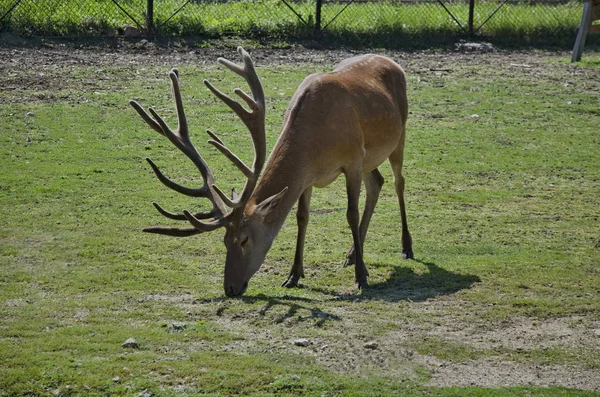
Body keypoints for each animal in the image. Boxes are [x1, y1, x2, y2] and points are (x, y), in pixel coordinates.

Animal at [131, 46, 412, 296]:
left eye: (244, 239)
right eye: (224, 240)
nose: (230, 288)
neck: (316, 141)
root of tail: (392, 61)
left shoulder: (352, 161)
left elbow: (350, 214)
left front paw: (361, 278)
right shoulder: (308, 176)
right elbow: (301, 217)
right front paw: (293, 275)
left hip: (398, 135)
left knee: (398, 181)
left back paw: (406, 247)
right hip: (370, 158)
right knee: (377, 182)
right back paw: (353, 253)